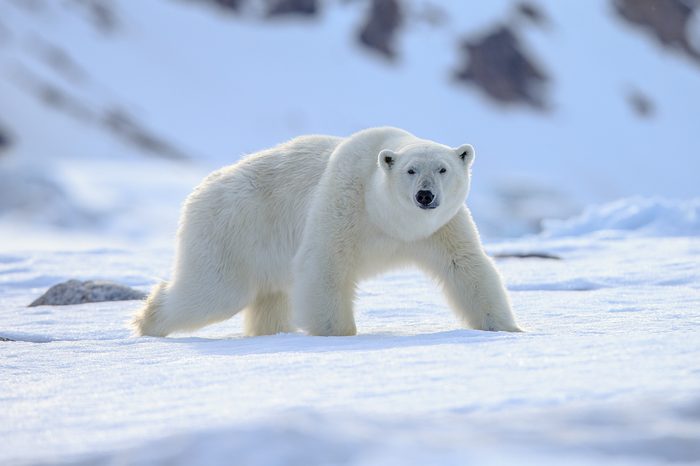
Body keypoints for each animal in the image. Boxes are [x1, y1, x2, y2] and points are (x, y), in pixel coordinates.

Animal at [134, 127, 524, 336]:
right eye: (411, 170)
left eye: (443, 169)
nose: (425, 196)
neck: (388, 219)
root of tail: (200, 189)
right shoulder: (344, 201)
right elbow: (325, 265)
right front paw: (338, 335)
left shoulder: (441, 228)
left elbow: (466, 267)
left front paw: (507, 328)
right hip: (231, 230)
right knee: (213, 291)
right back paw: (147, 321)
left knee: (270, 298)